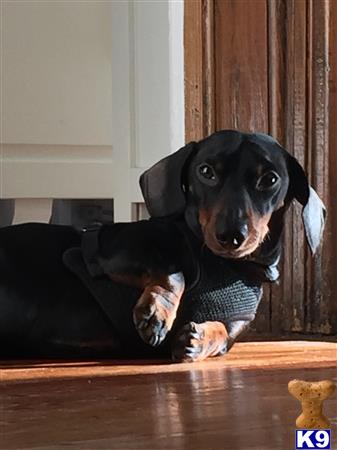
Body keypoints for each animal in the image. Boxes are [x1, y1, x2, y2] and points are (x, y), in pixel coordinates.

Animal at [0, 130, 326, 362]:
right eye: (205, 172)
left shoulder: (236, 324)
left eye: (269, 179)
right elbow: (173, 270)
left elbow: (221, 334)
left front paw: (198, 339)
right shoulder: (107, 250)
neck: (224, 265)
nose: (231, 236)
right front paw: (157, 311)